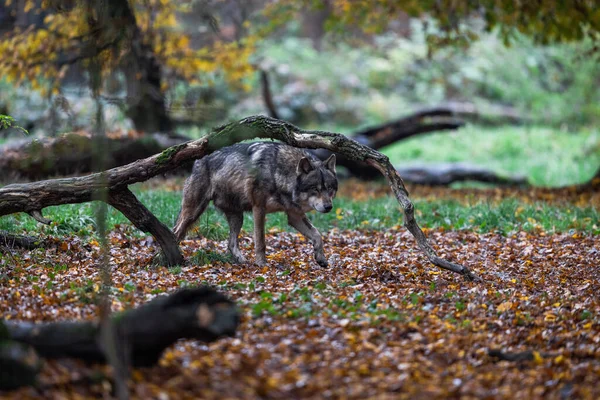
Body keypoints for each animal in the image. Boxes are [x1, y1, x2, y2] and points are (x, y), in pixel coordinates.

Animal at [173, 142, 338, 268]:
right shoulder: (259, 208)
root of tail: (198, 160)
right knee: (176, 232)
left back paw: (242, 261)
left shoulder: (294, 215)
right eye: (315, 188)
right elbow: (260, 241)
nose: (329, 207)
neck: (277, 172)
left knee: (231, 244)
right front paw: (261, 264)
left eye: (330, 188)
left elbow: (317, 235)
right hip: (193, 212)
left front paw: (321, 258)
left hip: (237, 218)